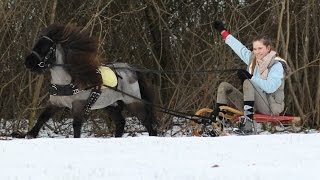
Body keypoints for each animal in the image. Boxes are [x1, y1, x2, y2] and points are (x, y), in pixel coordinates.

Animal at [23, 23, 158, 138]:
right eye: (37, 44)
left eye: (46, 47)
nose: (28, 62)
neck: (66, 82)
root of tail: (131, 69)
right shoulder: (55, 103)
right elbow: (42, 117)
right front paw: (31, 134)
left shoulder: (78, 105)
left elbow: (76, 126)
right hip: (111, 105)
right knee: (121, 122)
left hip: (133, 102)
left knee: (147, 123)